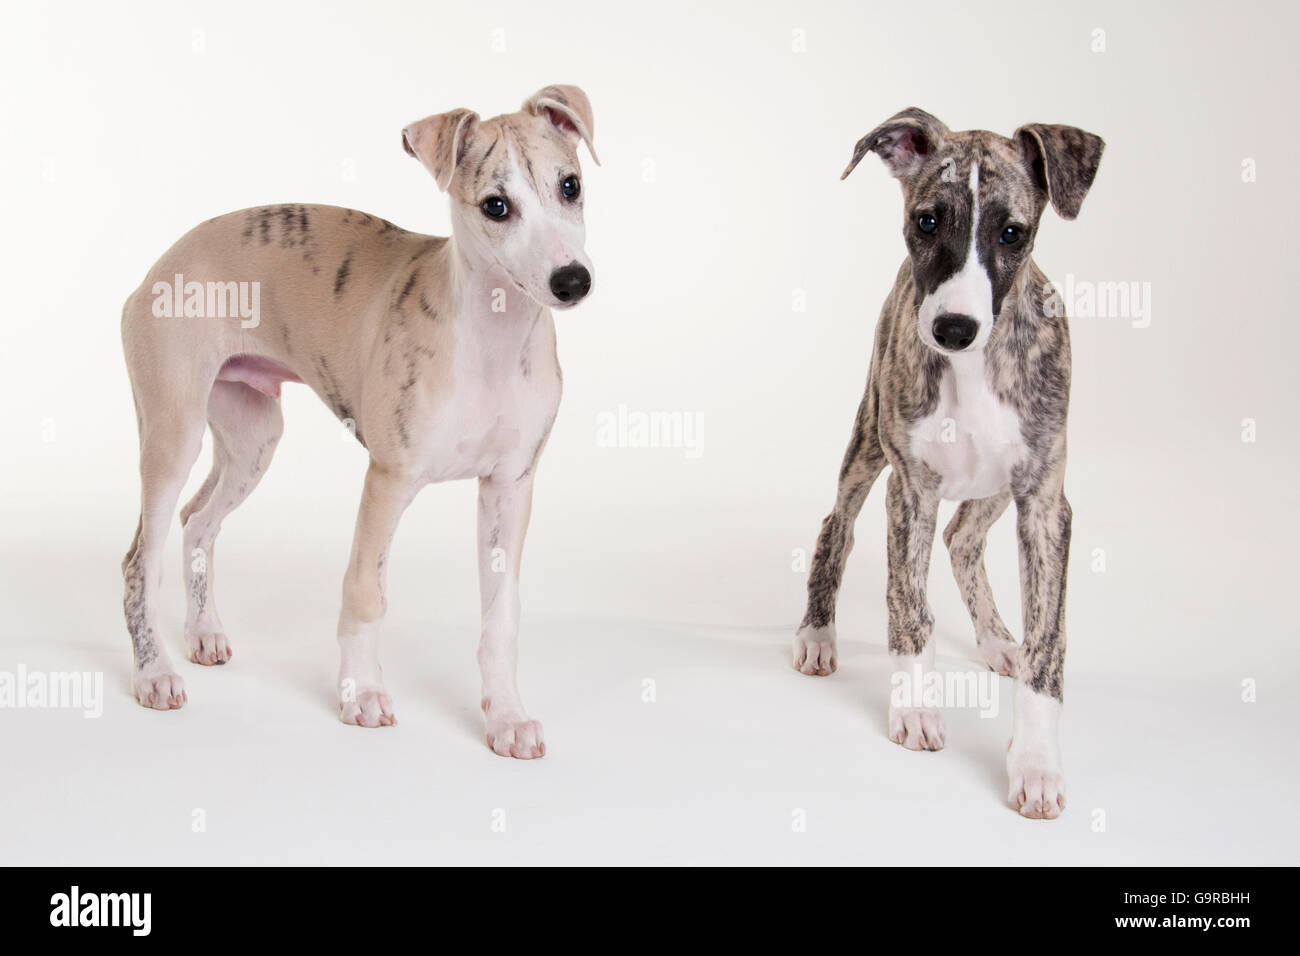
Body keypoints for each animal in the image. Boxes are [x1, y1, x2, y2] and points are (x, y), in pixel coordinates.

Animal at [119, 85, 595, 759]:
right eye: (496, 206)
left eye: (570, 185)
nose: (572, 281)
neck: (490, 338)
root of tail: (156, 267)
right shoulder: (388, 480)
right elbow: (365, 593)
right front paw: (360, 693)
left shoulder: (511, 488)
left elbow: (502, 617)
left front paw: (505, 717)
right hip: (173, 432)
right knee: (143, 556)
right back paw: (154, 673)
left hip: (252, 437)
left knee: (198, 521)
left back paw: (203, 633)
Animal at [795, 110, 1102, 816]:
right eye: (927, 220)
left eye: (1013, 232)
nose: (953, 329)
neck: (974, 369)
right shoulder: (911, 489)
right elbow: (909, 609)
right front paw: (914, 709)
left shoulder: (1046, 501)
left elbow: (1049, 643)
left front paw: (1036, 763)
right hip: (868, 442)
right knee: (837, 527)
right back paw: (818, 635)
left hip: (999, 486)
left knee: (963, 537)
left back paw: (995, 640)